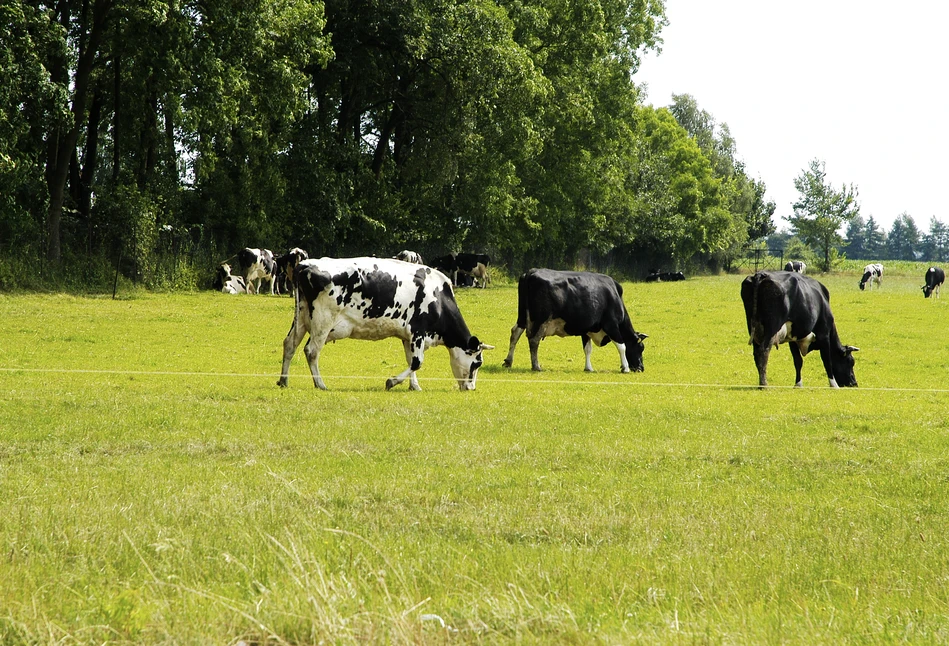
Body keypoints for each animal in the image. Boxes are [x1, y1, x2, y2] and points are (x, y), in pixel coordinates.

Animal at [276, 256, 492, 390]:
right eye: (477, 363)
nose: (471, 388)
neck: (438, 296)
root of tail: (305, 265)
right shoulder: (418, 332)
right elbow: (417, 362)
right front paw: (392, 382)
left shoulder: (408, 336)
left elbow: (410, 360)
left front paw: (414, 386)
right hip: (322, 321)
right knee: (311, 351)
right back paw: (320, 384)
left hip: (302, 318)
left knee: (289, 345)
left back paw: (283, 380)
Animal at [500, 270, 648, 374]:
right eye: (641, 348)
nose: (641, 368)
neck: (615, 296)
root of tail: (531, 272)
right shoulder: (611, 325)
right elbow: (622, 346)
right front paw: (625, 368)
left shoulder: (587, 329)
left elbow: (587, 349)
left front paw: (588, 368)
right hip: (541, 320)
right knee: (534, 340)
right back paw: (536, 366)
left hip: (522, 317)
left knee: (515, 333)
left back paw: (508, 361)